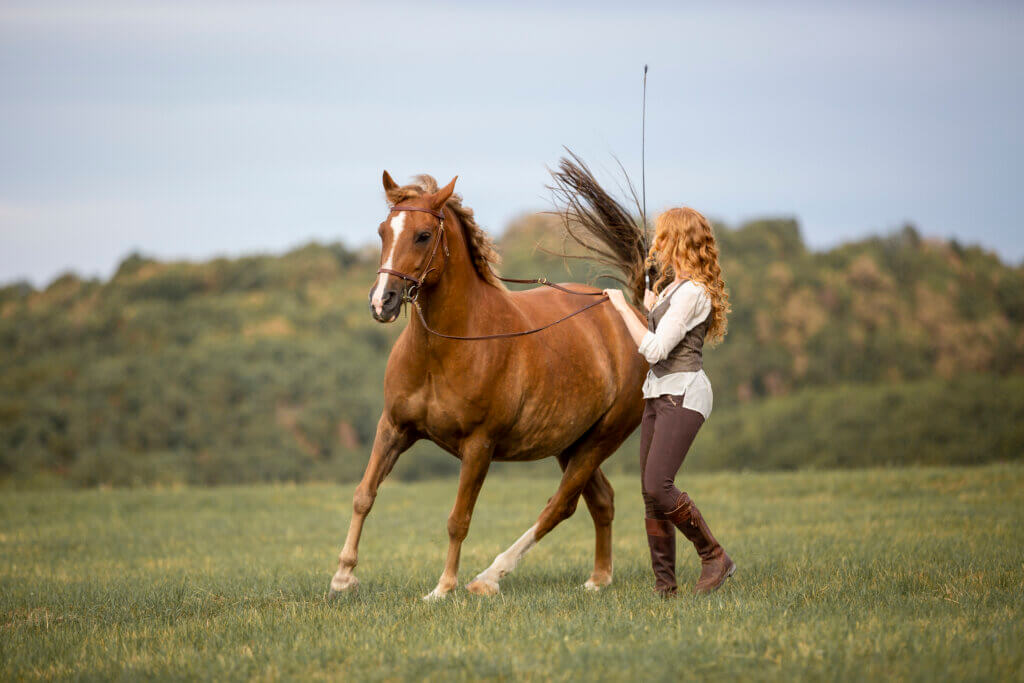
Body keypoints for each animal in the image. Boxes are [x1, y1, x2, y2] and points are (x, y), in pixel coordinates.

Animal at [327, 163, 647, 598]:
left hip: (601, 440)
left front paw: (442, 589)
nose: (382, 302)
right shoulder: (393, 428)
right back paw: (598, 579)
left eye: (423, 235)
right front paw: (342, 577)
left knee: (560, 506)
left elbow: (458, 519)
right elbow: (364, 494)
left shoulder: (479, 446)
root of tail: (638, 319)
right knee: (602, 500)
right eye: (382, 231)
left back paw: (488, 577)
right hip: (571, 443)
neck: (446, 348)